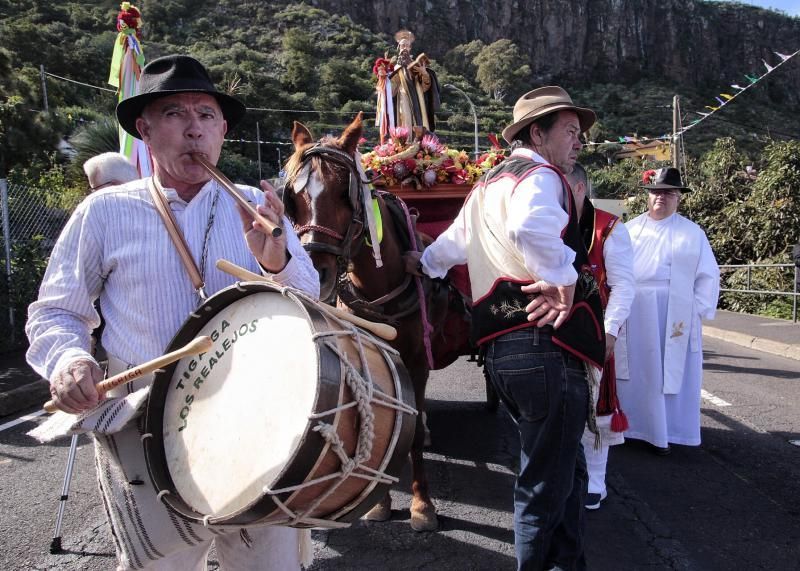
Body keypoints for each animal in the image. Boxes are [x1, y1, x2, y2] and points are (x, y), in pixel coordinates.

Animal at [282, 114, 462, 536]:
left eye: (344, 194)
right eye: (292, 199)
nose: (316, 271)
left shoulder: (417, 359)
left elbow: (411, 438)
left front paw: (422, 505)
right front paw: (379, 504)